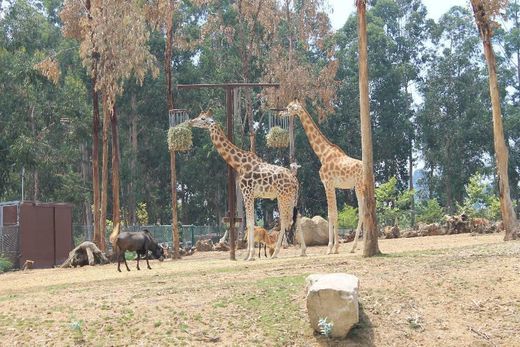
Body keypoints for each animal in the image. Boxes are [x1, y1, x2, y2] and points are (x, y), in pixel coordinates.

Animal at [189, 110, 306, 260]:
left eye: (203, 118)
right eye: (199, 116)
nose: (190, 122)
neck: (239, 164)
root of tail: (295, 180)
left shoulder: (247, 192)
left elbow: (250, 223)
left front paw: (250, 255)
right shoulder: (250, 194)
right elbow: (249, 223)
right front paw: (247, 255)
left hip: (283, 197)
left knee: (285, 220)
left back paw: (276, 253)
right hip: (292, 197)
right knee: (297, 217)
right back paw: (303, 251)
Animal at [286, 99, 364, 254]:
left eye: (290, 107)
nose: (282, 112)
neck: (322, 153)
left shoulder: (327, 183)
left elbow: (331, 214)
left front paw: (330, 248)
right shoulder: (332, 185)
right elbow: (334, 213)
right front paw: (336, 247)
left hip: (359, 185)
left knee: (363, 210)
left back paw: (354, 246)